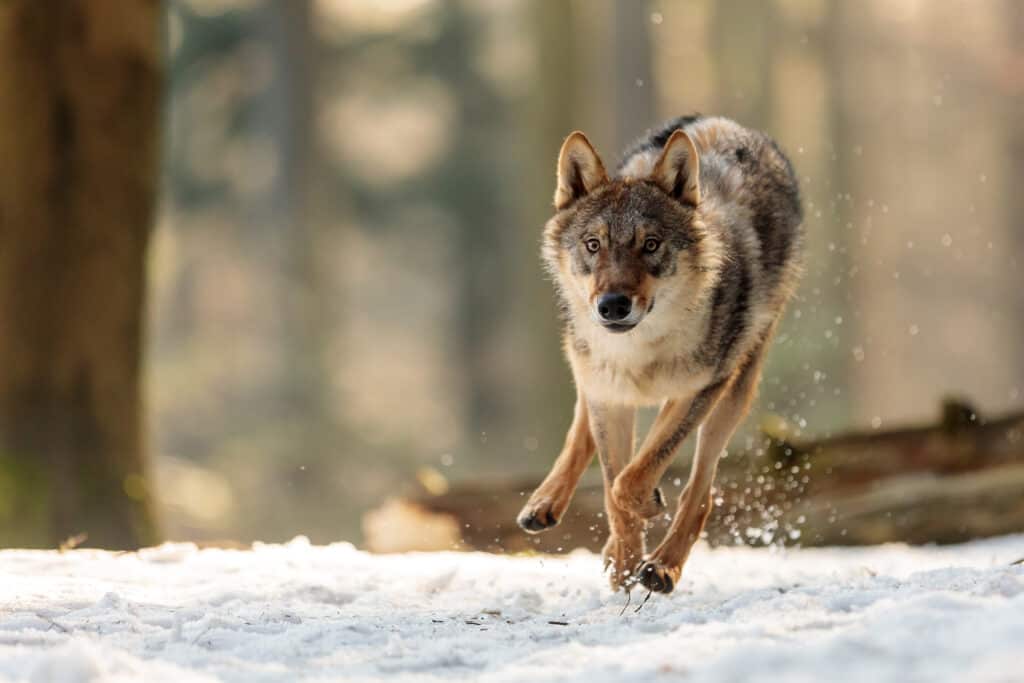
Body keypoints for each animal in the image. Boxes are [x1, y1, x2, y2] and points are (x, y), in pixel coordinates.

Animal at [520, 116, 798, 593]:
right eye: (593, 245)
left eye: (650, 245)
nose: (612, 305)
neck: (639, 352)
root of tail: (721, 122)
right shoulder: (609, 396)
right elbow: (614, 486)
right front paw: (625, 562)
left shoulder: (700, 390)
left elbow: (631, 479)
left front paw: (642, 540)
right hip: (590, 373)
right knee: (582, 431)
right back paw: (546, 504)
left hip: (735, 392)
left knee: (700, 492)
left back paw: (664, 566)